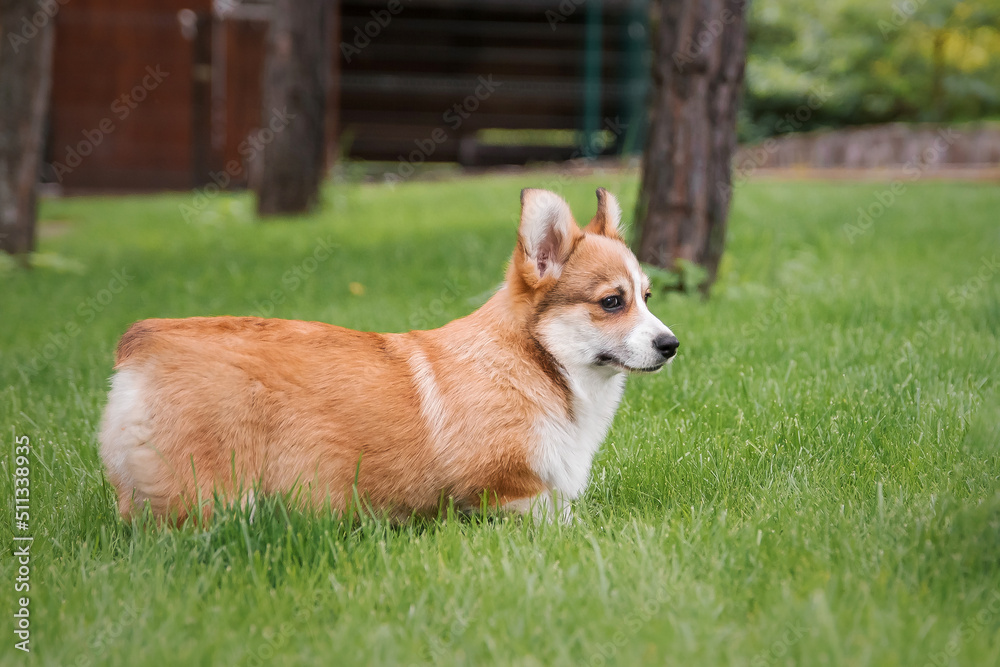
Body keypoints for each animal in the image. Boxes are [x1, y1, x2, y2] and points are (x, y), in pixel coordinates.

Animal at [99, 188, 680, 520]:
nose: (671, 345)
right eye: (612, 302)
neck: (538, 363)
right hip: (214, 494)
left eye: (648, 297)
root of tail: (142, 342)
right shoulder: (508, 494)